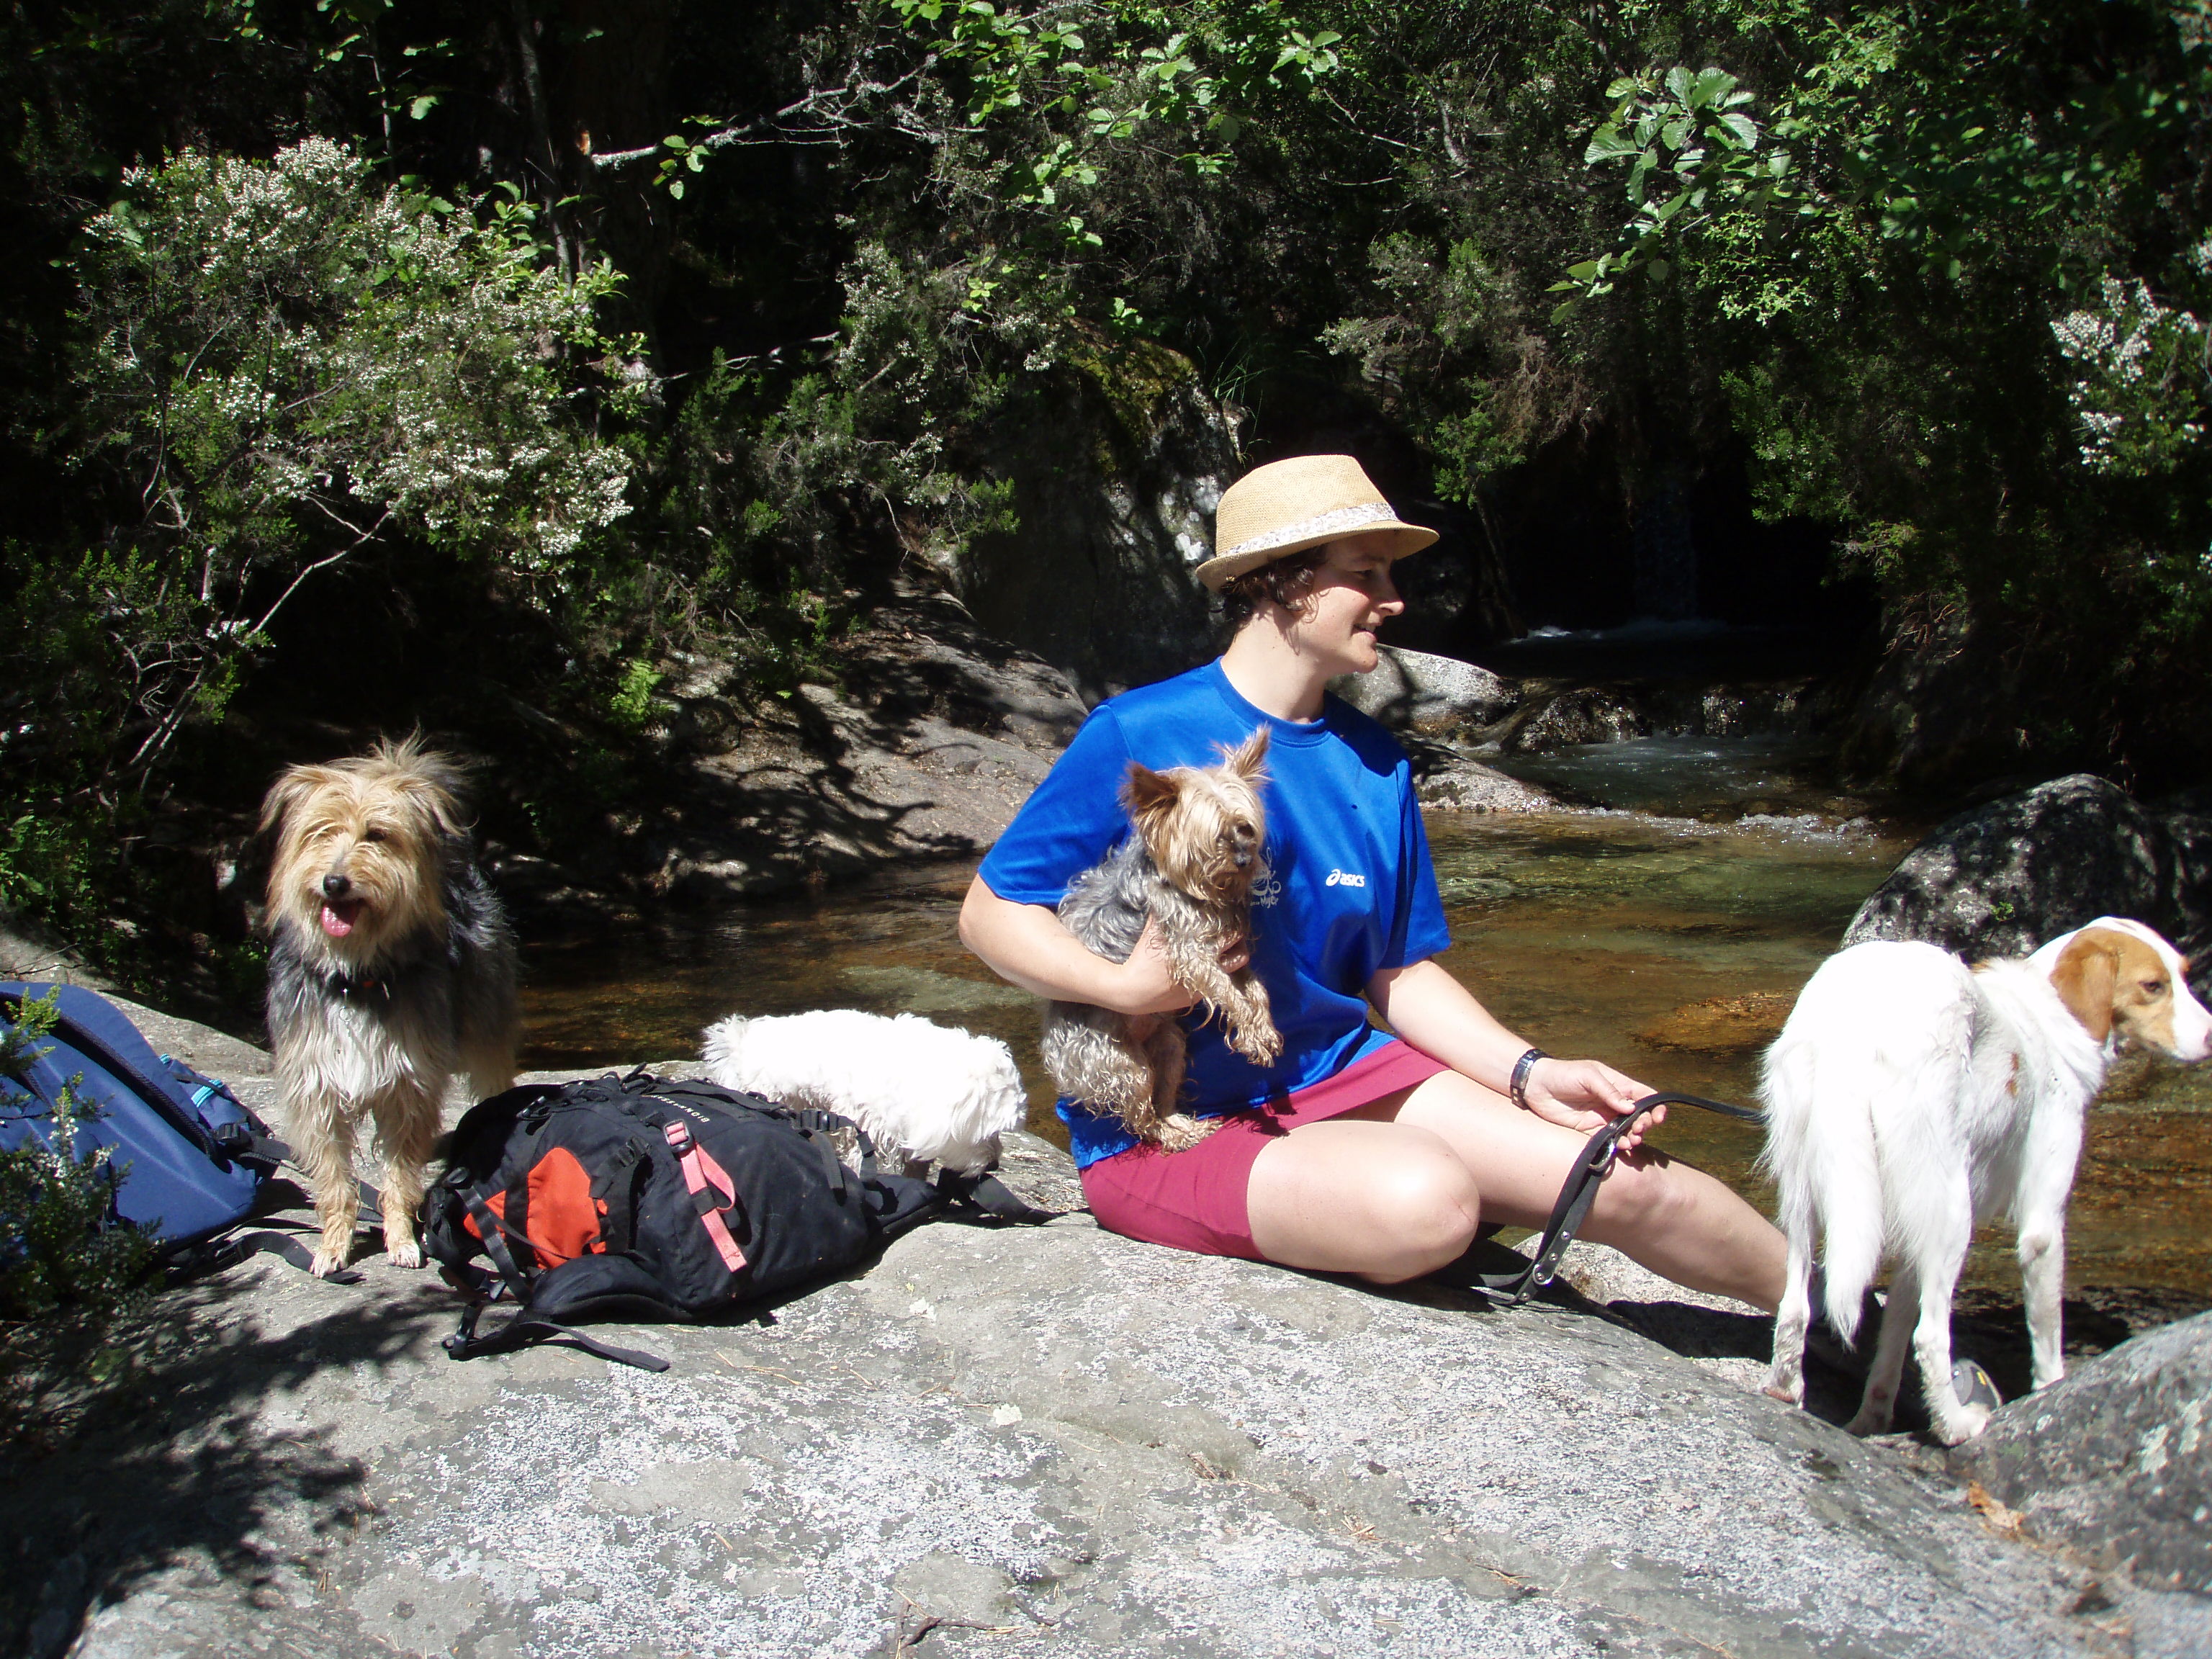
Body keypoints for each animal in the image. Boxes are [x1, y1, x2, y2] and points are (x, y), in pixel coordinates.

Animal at [261, 737, 519, 1276]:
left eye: (376, 836)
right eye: (322, 832)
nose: (334, 882)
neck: (355, 978)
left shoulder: (407, 1088)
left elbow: (401, 1178)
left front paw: (401, 1239)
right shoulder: (318, 1092)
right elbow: (336, 1181)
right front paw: (333, 1244)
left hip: (486, 1023)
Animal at [1042, 728, 1281, 1151]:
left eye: (1246, 828)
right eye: (1215, 839)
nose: (1244, 861)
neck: (1203, 892)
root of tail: (1058, 1061)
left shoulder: (1232, 950)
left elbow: (1255, 989)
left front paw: (1263, 1027)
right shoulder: (1191, 953)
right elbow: (1228, 991)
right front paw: (1252, 1033)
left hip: (1169, 1045)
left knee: (1163, 1093)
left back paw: (1183, 1125)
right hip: (1119, 1065)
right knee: (1142, 1117)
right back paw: (1170, 1136)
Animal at [1761, 916, 2212, 1443]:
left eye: (2185, 975)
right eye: (2153, 986)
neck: (2049, 1017)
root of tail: (1856, 1020)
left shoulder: (1914, 1237)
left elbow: (1893, 1339)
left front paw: (1872, 1419)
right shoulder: (2042, 1223)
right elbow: (2046, 1334)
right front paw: (2050, 1393)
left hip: (1807, 1200)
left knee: (1796, 1308)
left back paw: (1786, 1390)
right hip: (1953, 1208)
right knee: (1932, 1335)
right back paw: (1957, 1426)